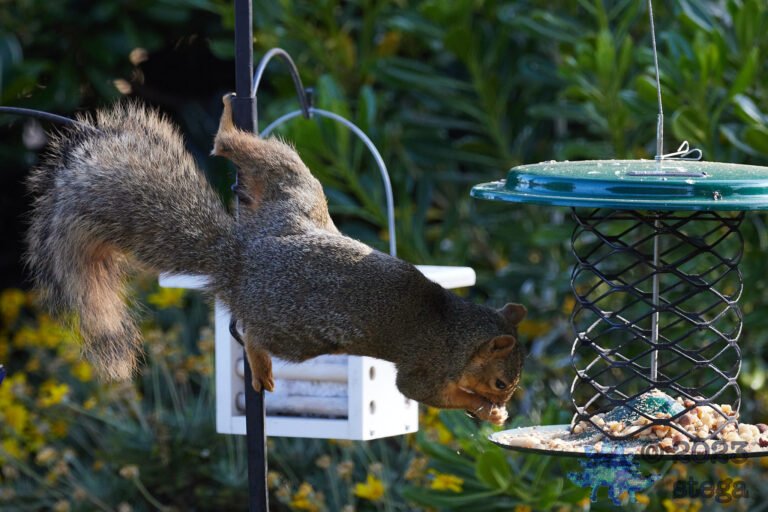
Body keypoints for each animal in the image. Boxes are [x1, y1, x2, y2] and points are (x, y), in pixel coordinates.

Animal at [25, 95, 527, 425]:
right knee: (252, 333)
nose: (506, 400)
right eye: (502, 383)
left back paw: (230, 124)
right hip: (296, 330)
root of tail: (241, 258)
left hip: (294, 190)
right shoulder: (426, 368)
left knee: (250, 151)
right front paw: (483, 409)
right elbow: (422, 391)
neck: (458, 331)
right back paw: (260, 362)